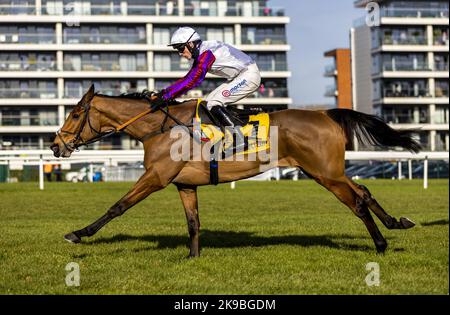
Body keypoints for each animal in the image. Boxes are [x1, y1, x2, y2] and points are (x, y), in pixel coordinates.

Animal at [51, 85, 420, 258]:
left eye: (74, 115)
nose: (56, 146)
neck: (159, 127)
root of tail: (325, 114)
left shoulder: (155, 178)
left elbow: (117, 206)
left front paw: (79, 233)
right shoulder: (184, 185)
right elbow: (193, 222)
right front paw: (193, 256)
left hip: (325, 174)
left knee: (357, 202)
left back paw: (381, 244)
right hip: (328, 172)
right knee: (365, 192)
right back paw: (397, 222)